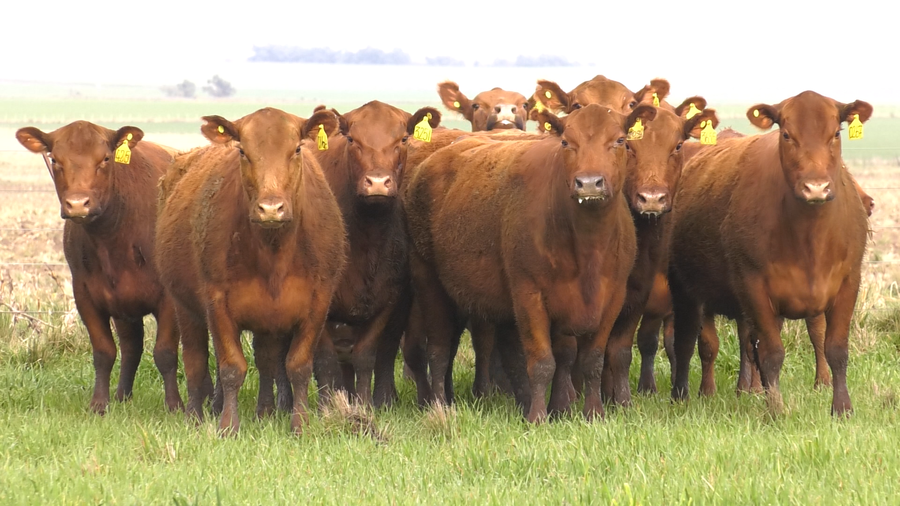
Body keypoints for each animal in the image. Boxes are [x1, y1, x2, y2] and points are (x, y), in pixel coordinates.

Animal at [15, 121, 183, 414]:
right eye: (55, 159)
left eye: (105, 158)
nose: (77, 204)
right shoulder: (86, 294)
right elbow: (104, 351)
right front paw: (99, 405)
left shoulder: (168, 298)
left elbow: (165, 352)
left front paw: (174, 407)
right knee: (131, 345)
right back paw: (123, 396)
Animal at [155, 107, 347, 434]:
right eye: (243, 151)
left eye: (297, 149)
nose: (271, 208)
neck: (274, 253)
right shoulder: (216, 300)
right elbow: (231, 367)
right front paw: (228, 425)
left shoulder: (318, 301)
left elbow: (298, 366)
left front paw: (300, 423)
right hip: (185, 307)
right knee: (195, 361)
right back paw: (194, 415)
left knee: (267, 361)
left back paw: (265, 412)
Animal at [309, 101, 440, 408]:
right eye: (352, 140)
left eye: (403, 139)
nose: (378, 183)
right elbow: (325, 361)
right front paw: (327, 408)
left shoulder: (387, 300)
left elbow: (367, 356)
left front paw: (365, 405)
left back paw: (383, 399)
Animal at [404, 103, 653, 422]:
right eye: (566, 142)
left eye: (620, 141)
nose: (589, 183)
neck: (588, 248)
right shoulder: (528, 294)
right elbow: (542, 362)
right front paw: (538, 417)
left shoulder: (612, 298)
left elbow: (590, 360)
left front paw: (587, 412)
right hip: (429, 282)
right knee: (439, 349)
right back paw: (439, 405)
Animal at [667, 91, 871, 416]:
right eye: (786, 134)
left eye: (836, 133)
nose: (816, 187)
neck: (810, 240)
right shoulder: (754, 288)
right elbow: (771, 353)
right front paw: (775, 410)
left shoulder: (848, 282)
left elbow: (836, 349)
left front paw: (842, 408)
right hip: (685, 289)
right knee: (687, 342)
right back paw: (683, 395)